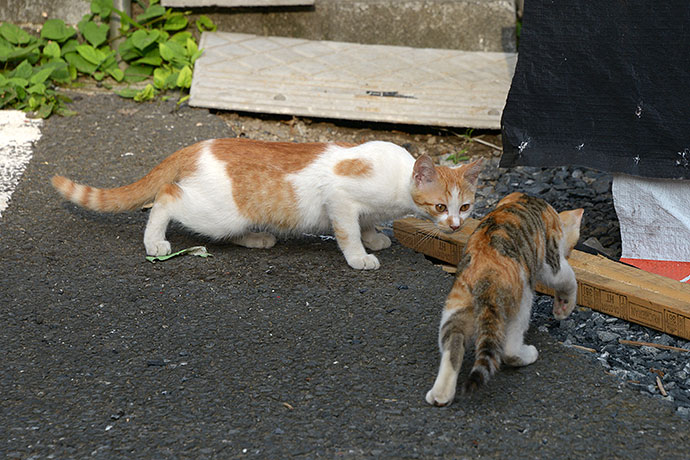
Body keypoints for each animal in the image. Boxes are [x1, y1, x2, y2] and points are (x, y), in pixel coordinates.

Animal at [53, 138, 482, 272]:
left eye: (466, 208)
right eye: (441, 207)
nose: (456, 227)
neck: (397, 177)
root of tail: (198, 145)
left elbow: (367, 224)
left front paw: (375, 236)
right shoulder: (340, 199)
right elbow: (347, 232)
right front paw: (360, 255)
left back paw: (257, 239)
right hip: (216, 212)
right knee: (166, 198)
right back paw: (155, 242)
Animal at [424, 192, 580, 404]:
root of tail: (485, 278)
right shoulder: (551, 259)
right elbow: (567, 278)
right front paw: (564, 306)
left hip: (456, 306)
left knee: (453, 344)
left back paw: (441, 394)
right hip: (522, 298)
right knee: (509, 350)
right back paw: (527, 354)